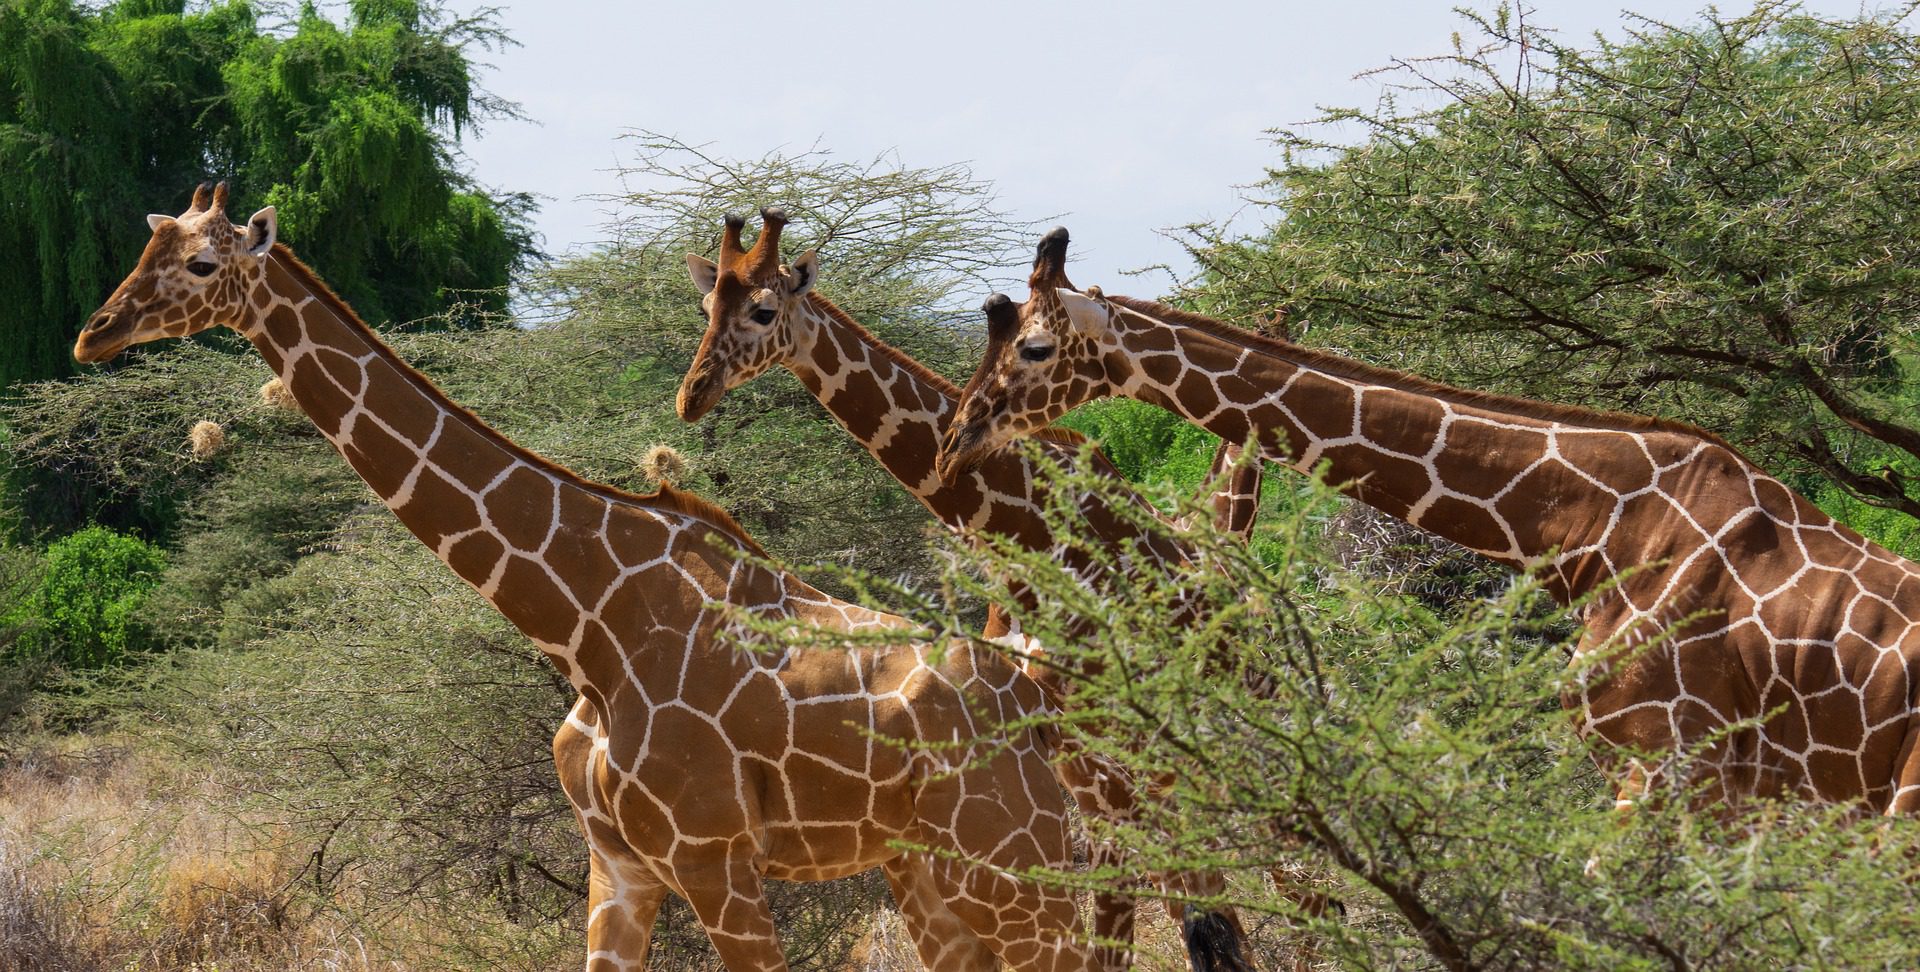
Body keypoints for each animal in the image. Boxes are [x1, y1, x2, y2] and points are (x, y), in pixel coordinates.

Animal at [73, 183, 1100, 972]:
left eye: (201, 266)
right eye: (145, 247)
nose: (95, 332)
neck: (586, 622)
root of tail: (1047, 694)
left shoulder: (716, 860)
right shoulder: (618, 868)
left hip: (1020, 869)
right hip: (932, 870)